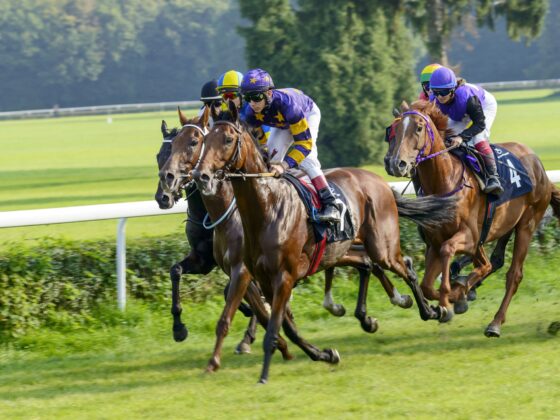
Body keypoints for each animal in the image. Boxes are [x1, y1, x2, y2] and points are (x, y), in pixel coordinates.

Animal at [192, 105, 456, 384]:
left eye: (227, 139)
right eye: (204, 141)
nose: (201, 175)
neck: (268, 207)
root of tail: (380, 182)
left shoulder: (281, 277)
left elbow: (273, 326)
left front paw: (263, 374)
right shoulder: (263, 279)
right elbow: (286, 326)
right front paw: (325, 355)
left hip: (382, 248)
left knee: (405, 268)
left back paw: (434, 311)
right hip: (342, 249)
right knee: (369, 263)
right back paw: (375, 316)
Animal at [384, 100, 560, 336]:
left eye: (419, 128)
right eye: (392, 130)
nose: (396, 163)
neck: (445, 182)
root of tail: (540, 169)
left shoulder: (468, 236)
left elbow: (449, 252)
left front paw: (452, 297)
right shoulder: (435, 243)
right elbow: (427, 286)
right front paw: (451, 301)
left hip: (527, 224)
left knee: (513, 274)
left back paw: (495, 322)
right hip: (503, 227)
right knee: (493, 261)